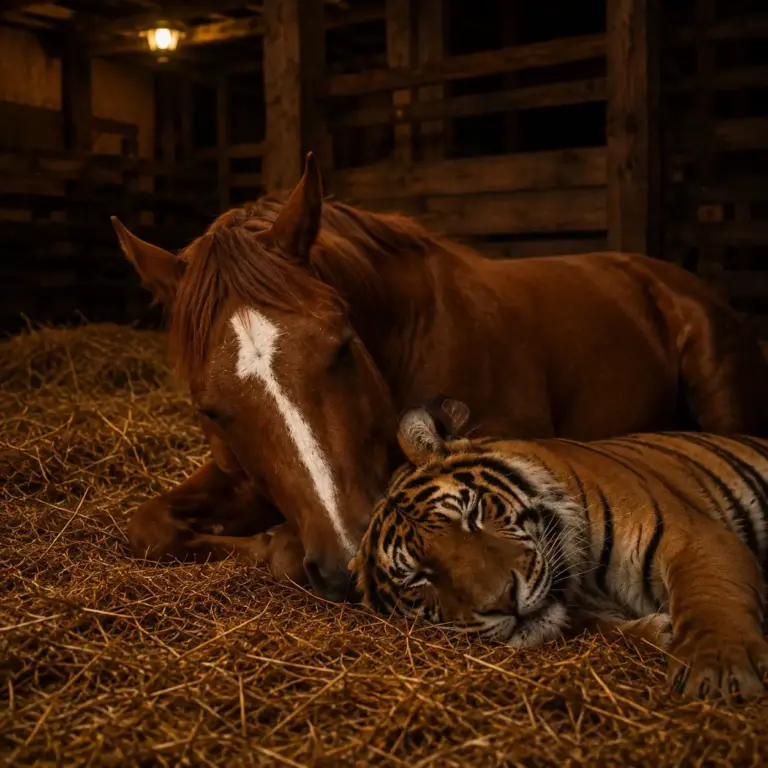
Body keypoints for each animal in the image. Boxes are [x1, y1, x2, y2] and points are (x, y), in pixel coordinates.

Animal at [350, 398, 768, 701]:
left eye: (472, 514)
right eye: (419, 578)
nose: (503, 601)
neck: (587, 587)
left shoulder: (692, 536)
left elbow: (710, 598)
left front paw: (719, 672)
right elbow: (597, 629)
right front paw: (656, 632)